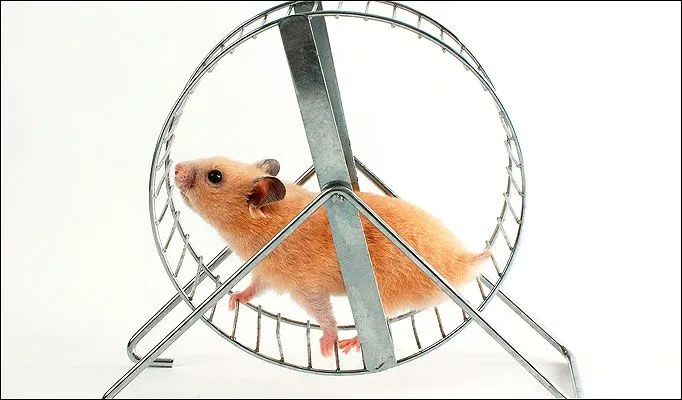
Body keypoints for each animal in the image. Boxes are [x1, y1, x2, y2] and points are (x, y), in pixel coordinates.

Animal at [174, 156, 490, 356]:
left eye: (215, 176)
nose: (175, 167)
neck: (268, 221)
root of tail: (461, 263)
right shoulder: (265, 273)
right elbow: (253, 288)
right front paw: (232, 301)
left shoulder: (306, 287)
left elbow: (324, 315)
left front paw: (327, 348)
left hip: (387, 292)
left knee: (385, 319)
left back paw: (351, 344)